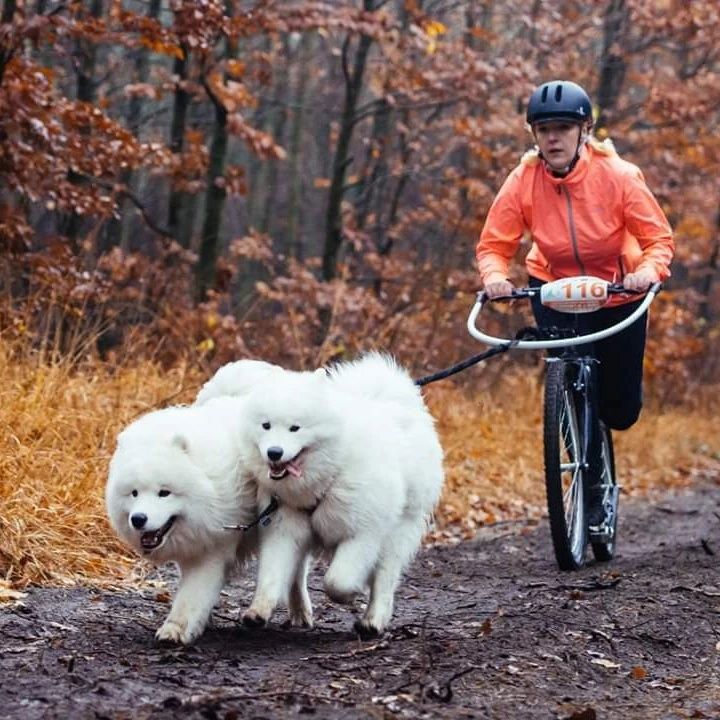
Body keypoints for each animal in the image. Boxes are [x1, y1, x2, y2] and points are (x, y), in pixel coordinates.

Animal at [107, 396, 272, 644]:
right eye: (134, 493)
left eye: (164, 493)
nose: (138, 519)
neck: (209, 485)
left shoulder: (213, 547)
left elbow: (191, 596)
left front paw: (175, 630)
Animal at [242, 352, 444, 640]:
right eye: (266, 425)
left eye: (295, 428)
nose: (274, 452)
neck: (329, 473)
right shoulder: (283, 527)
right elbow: (271, 576)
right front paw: (258, 611)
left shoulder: (363, 533)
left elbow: (337, 580)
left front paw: (350, 595)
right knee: (297, 575)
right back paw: (300, 612)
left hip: (400, 530)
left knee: (385, 578)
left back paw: (373, 621)